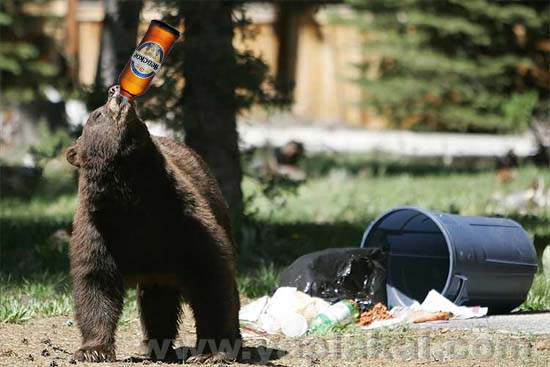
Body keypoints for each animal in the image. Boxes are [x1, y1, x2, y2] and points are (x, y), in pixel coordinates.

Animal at [66, 87, 242, 366]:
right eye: (96, 114)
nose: (115, 91)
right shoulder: (98, 230)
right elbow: (94, 281)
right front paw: (93, 350)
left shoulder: (182, 220)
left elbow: (211, 278)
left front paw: (211, 352)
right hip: (158, 272)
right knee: (157, 303)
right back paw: (157, 347)